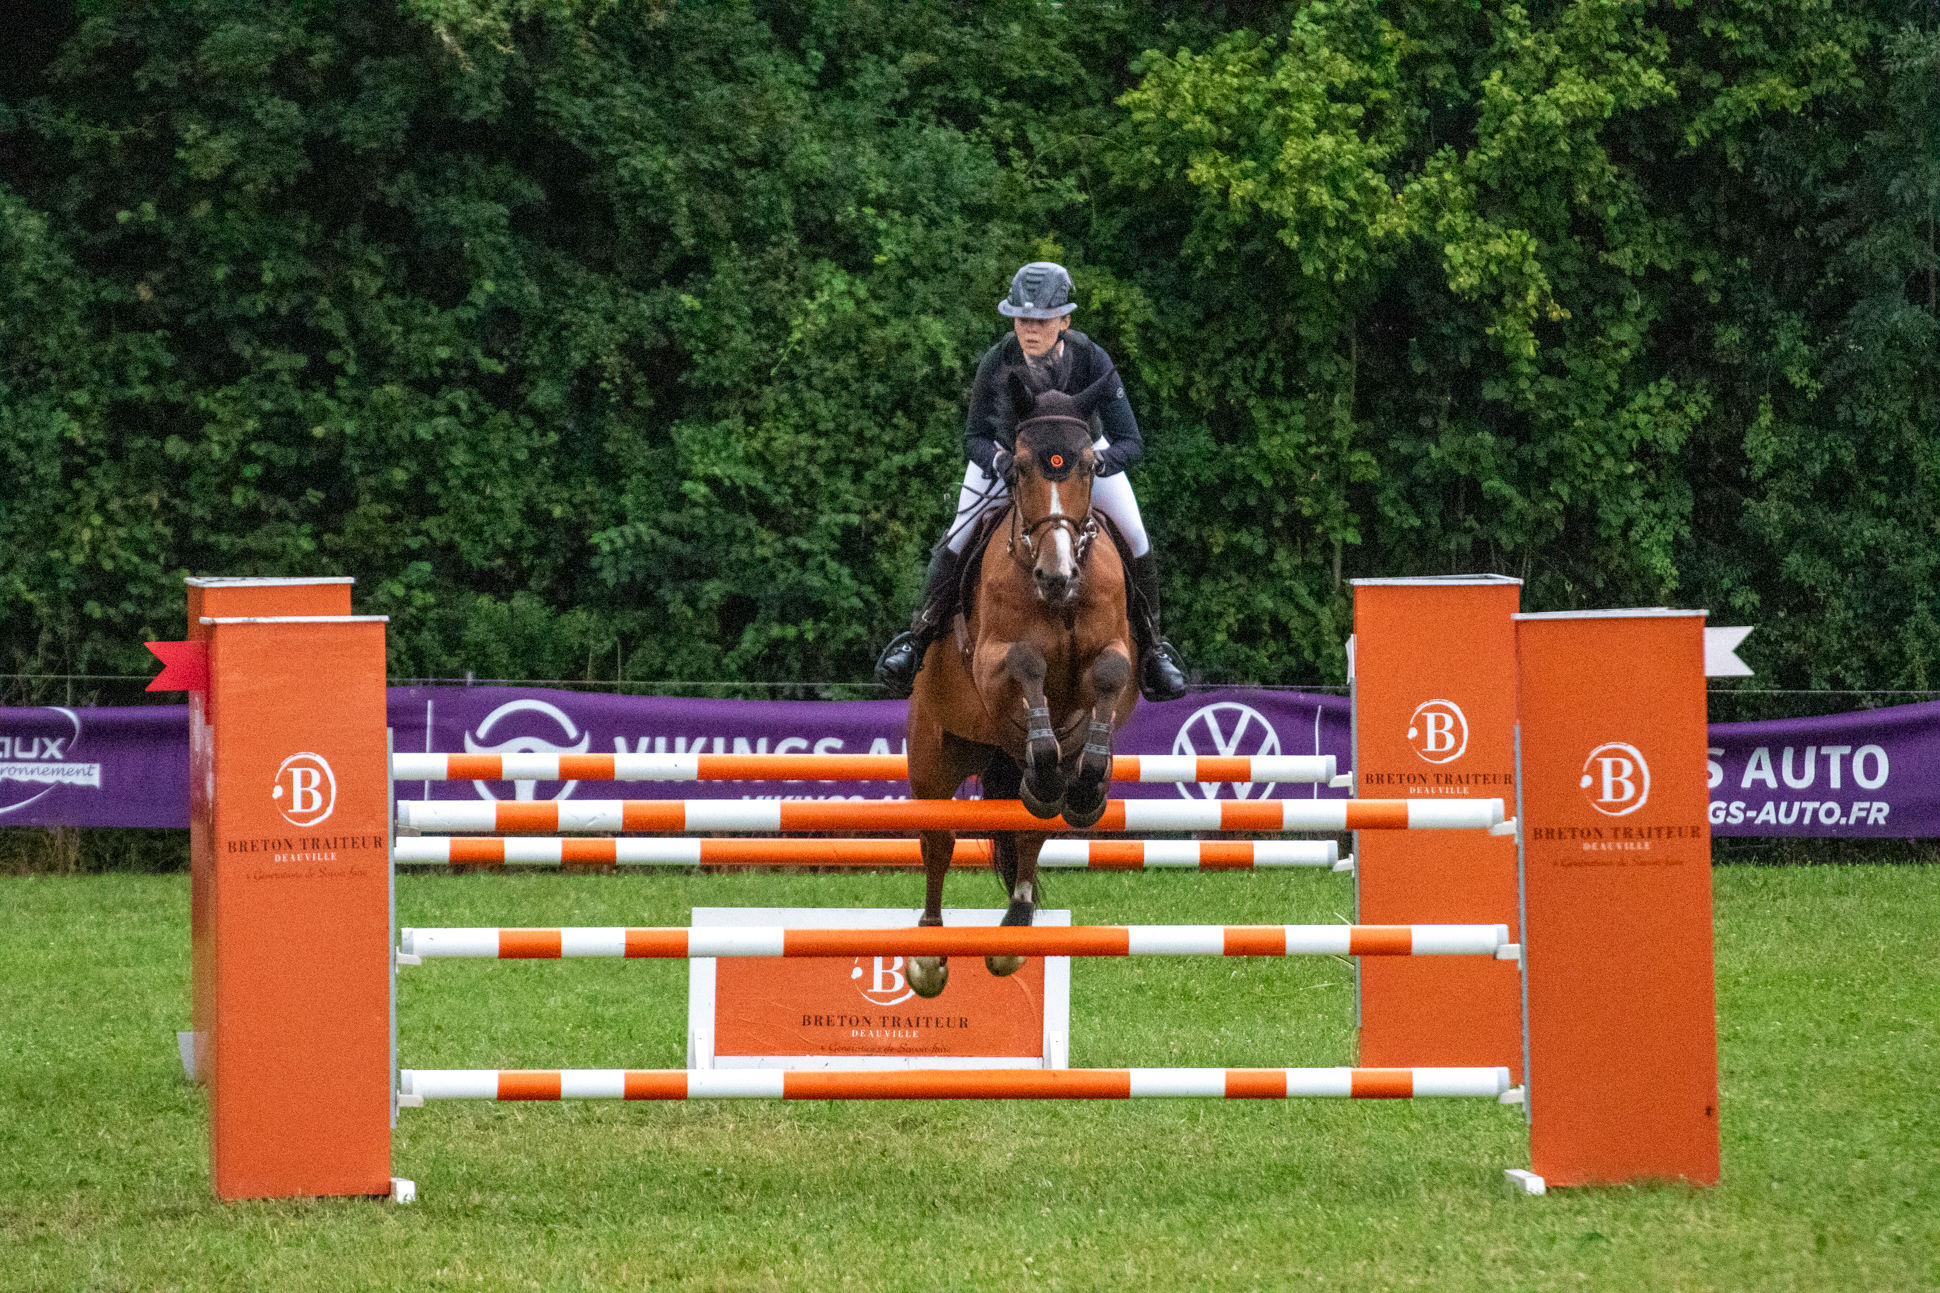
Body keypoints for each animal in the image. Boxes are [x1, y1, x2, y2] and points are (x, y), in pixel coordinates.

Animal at [901, 368, 1139, 998]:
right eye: (1023, 467)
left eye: (1088, 467)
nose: (1057, 577)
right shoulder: (990, 660)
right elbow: (1028, 662)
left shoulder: (1118, 654)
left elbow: (1110, 675)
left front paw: (1089, 785)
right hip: (935, 754)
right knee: (938, 841)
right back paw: (928, 955)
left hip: (1008, 769)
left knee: (1032, 826)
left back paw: (1017, 922)